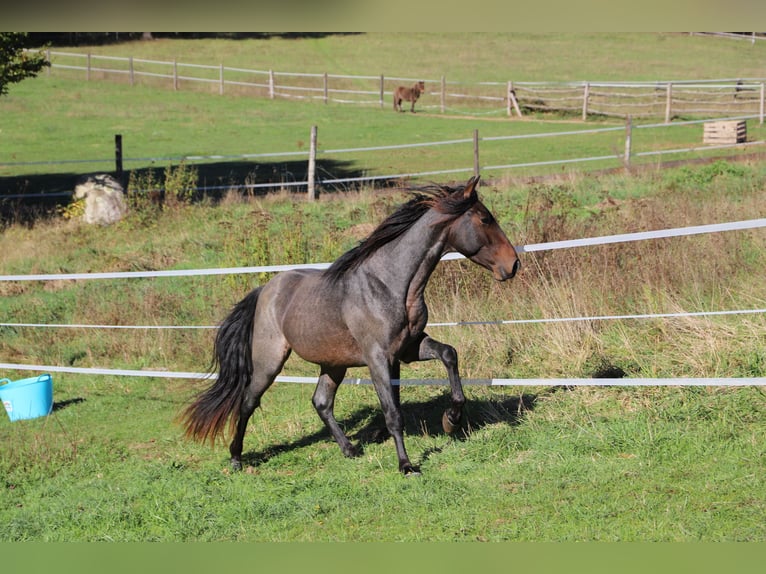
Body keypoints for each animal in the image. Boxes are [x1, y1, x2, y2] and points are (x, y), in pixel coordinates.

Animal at [183, 177, 524, 476]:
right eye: (485, 219)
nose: (513, 264)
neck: (391, 284)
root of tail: (265, 290)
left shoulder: (408, 349)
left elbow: (449, 355)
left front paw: (451, 419)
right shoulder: (378, 358)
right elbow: (393, 413)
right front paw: (406, 466)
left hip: (334, 364)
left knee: (321, 402)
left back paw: (350, 449)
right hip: (269, 362)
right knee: (248, 402)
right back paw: (236, 459)